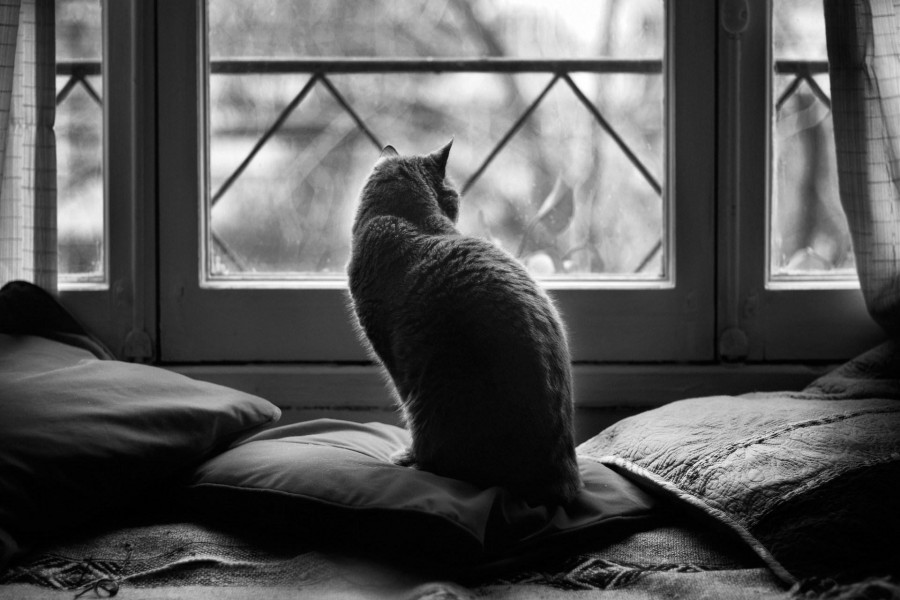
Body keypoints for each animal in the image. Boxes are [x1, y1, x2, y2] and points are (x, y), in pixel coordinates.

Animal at [348, 142, 580, 506]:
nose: (458, 203)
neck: (407, 217)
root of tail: (562, 481)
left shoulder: (391, 357)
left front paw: (406, 456)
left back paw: (412, 460)